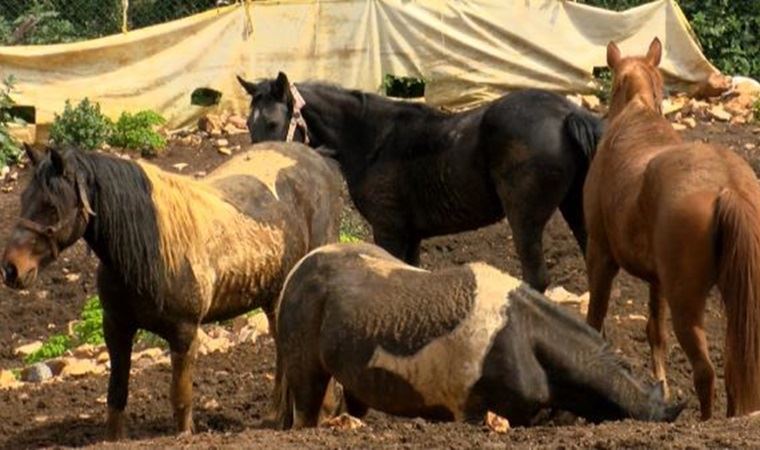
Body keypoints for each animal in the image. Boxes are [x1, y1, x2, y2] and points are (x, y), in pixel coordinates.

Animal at [0, 142, 342, 440]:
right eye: (24, 198)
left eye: (51, 206)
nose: (11, 269)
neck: (150, 250)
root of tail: (317, 159)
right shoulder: (116, 329)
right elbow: (116, 394)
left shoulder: (184, 333)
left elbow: (180, 398)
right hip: (275, 299)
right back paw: (279, 418)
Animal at [235, 74, 604, 292]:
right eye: (248, 123)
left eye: (273, 122)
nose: (259, 170)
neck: (371, 138)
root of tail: (566, 112)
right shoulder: (410, 234)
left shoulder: (389, 230)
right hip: (575, 207)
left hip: (525, 219)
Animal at [584, 37, 760, 418]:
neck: (635, 115)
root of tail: (728, 186)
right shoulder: (657, 280)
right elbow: (655, 332)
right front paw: (661, 388)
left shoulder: (600, 255)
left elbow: (595, 318)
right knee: (731, 367)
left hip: (687, 303)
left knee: (705, 371)